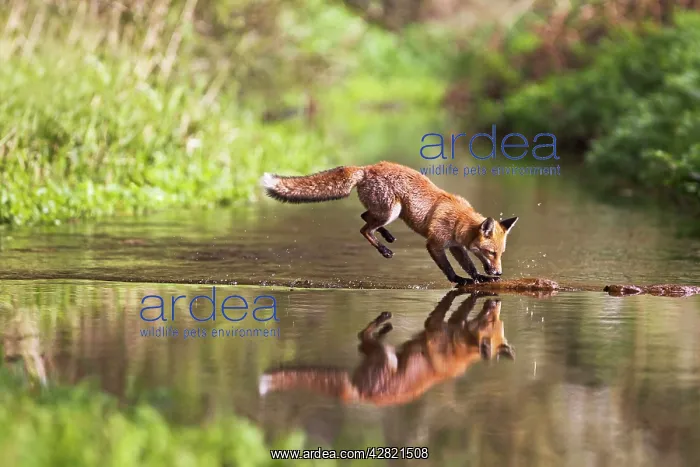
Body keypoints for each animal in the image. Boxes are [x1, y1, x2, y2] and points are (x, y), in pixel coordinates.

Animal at [258, 290, 514, 406]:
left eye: (500, 322)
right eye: (491, 320)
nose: (496, 301)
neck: (460, 349)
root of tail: (358, 393)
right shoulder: (436, 328)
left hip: (380, 355)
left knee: (363, 339)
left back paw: (384, 325)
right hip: (388, 358)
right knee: (363, 335)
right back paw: (384, 322)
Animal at [260, 161, 518, 285]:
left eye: (501, 253)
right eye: (491, 252)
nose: (499, 272)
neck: (458, 221)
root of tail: (366, 168)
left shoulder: (455, 246)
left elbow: (469, 265)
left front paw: (479, 278)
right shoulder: (435, 244)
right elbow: (448, 269)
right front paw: (460, 280)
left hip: (387, 211)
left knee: (365, 218)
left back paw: (387, 237)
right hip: (392, 211)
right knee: (364, 228)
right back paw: (384, 248)